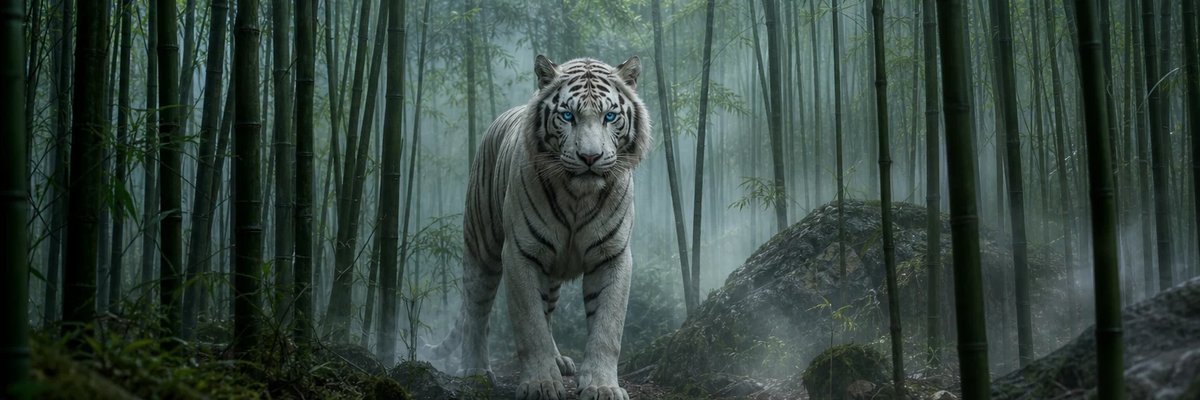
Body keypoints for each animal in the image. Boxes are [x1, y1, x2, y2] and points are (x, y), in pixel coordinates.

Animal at [433, 55, 649, 400]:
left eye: (610, 116)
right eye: (568, 115)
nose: (590, 157)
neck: (579, 197)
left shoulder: (612, 255)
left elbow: (607, 328)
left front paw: (601, 386)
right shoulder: (520, 254)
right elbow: (530, 325)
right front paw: (540, 384)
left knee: (547, 309)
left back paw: (559, 360)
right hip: (481, 247)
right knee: (477, 310)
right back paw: (475, 370)